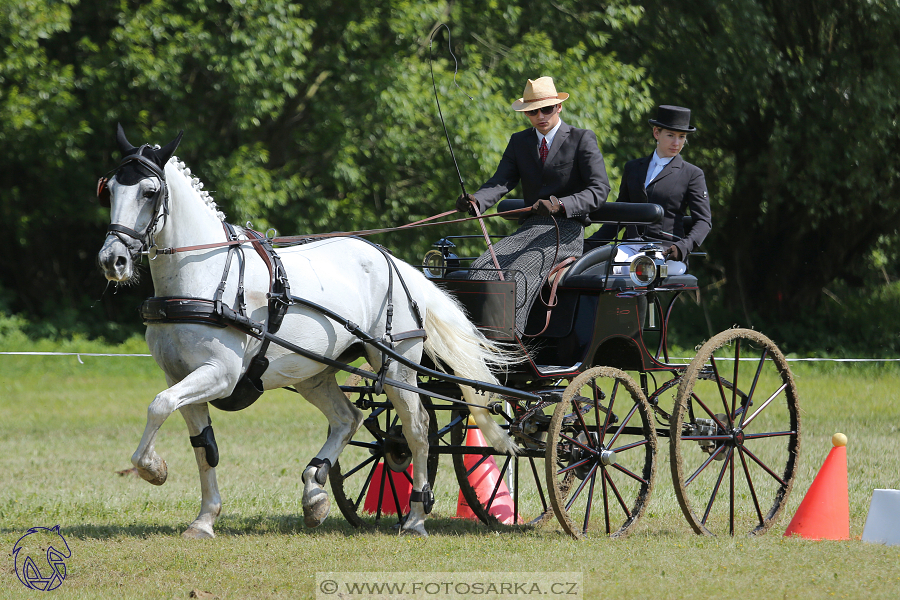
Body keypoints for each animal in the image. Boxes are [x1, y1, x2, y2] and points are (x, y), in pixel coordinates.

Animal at [95, 124, 516, 536]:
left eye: (150, 192)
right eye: (109, 188)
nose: (112, 260)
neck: (204, 277)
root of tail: (399, 265)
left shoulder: (220, 374)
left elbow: (158, 405)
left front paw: (153, 469)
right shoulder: (180, 375)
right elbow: (203, 445)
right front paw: (204, 518)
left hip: (397, 368)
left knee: (416, 430)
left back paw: (414, 517)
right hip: (314, 372)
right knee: (348, 418)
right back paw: (314, 493)